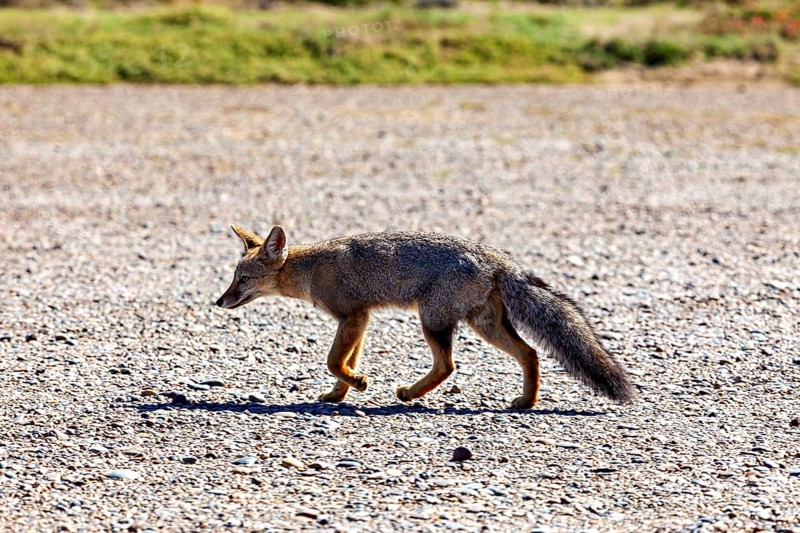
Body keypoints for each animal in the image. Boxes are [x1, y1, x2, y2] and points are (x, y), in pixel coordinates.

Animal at [215, 225, 636, 409]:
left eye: (242, 280)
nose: (219, 301)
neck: (311, 267)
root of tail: (496, 258)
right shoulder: (360, 320)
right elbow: (344, 362)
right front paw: (339, 393)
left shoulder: (353, 315)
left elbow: (335, 360)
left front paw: (358, 382)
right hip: (484, 325)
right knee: (530, 353)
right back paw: (526, 402)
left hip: (432, 321)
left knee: (447, 365)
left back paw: (408, 394)